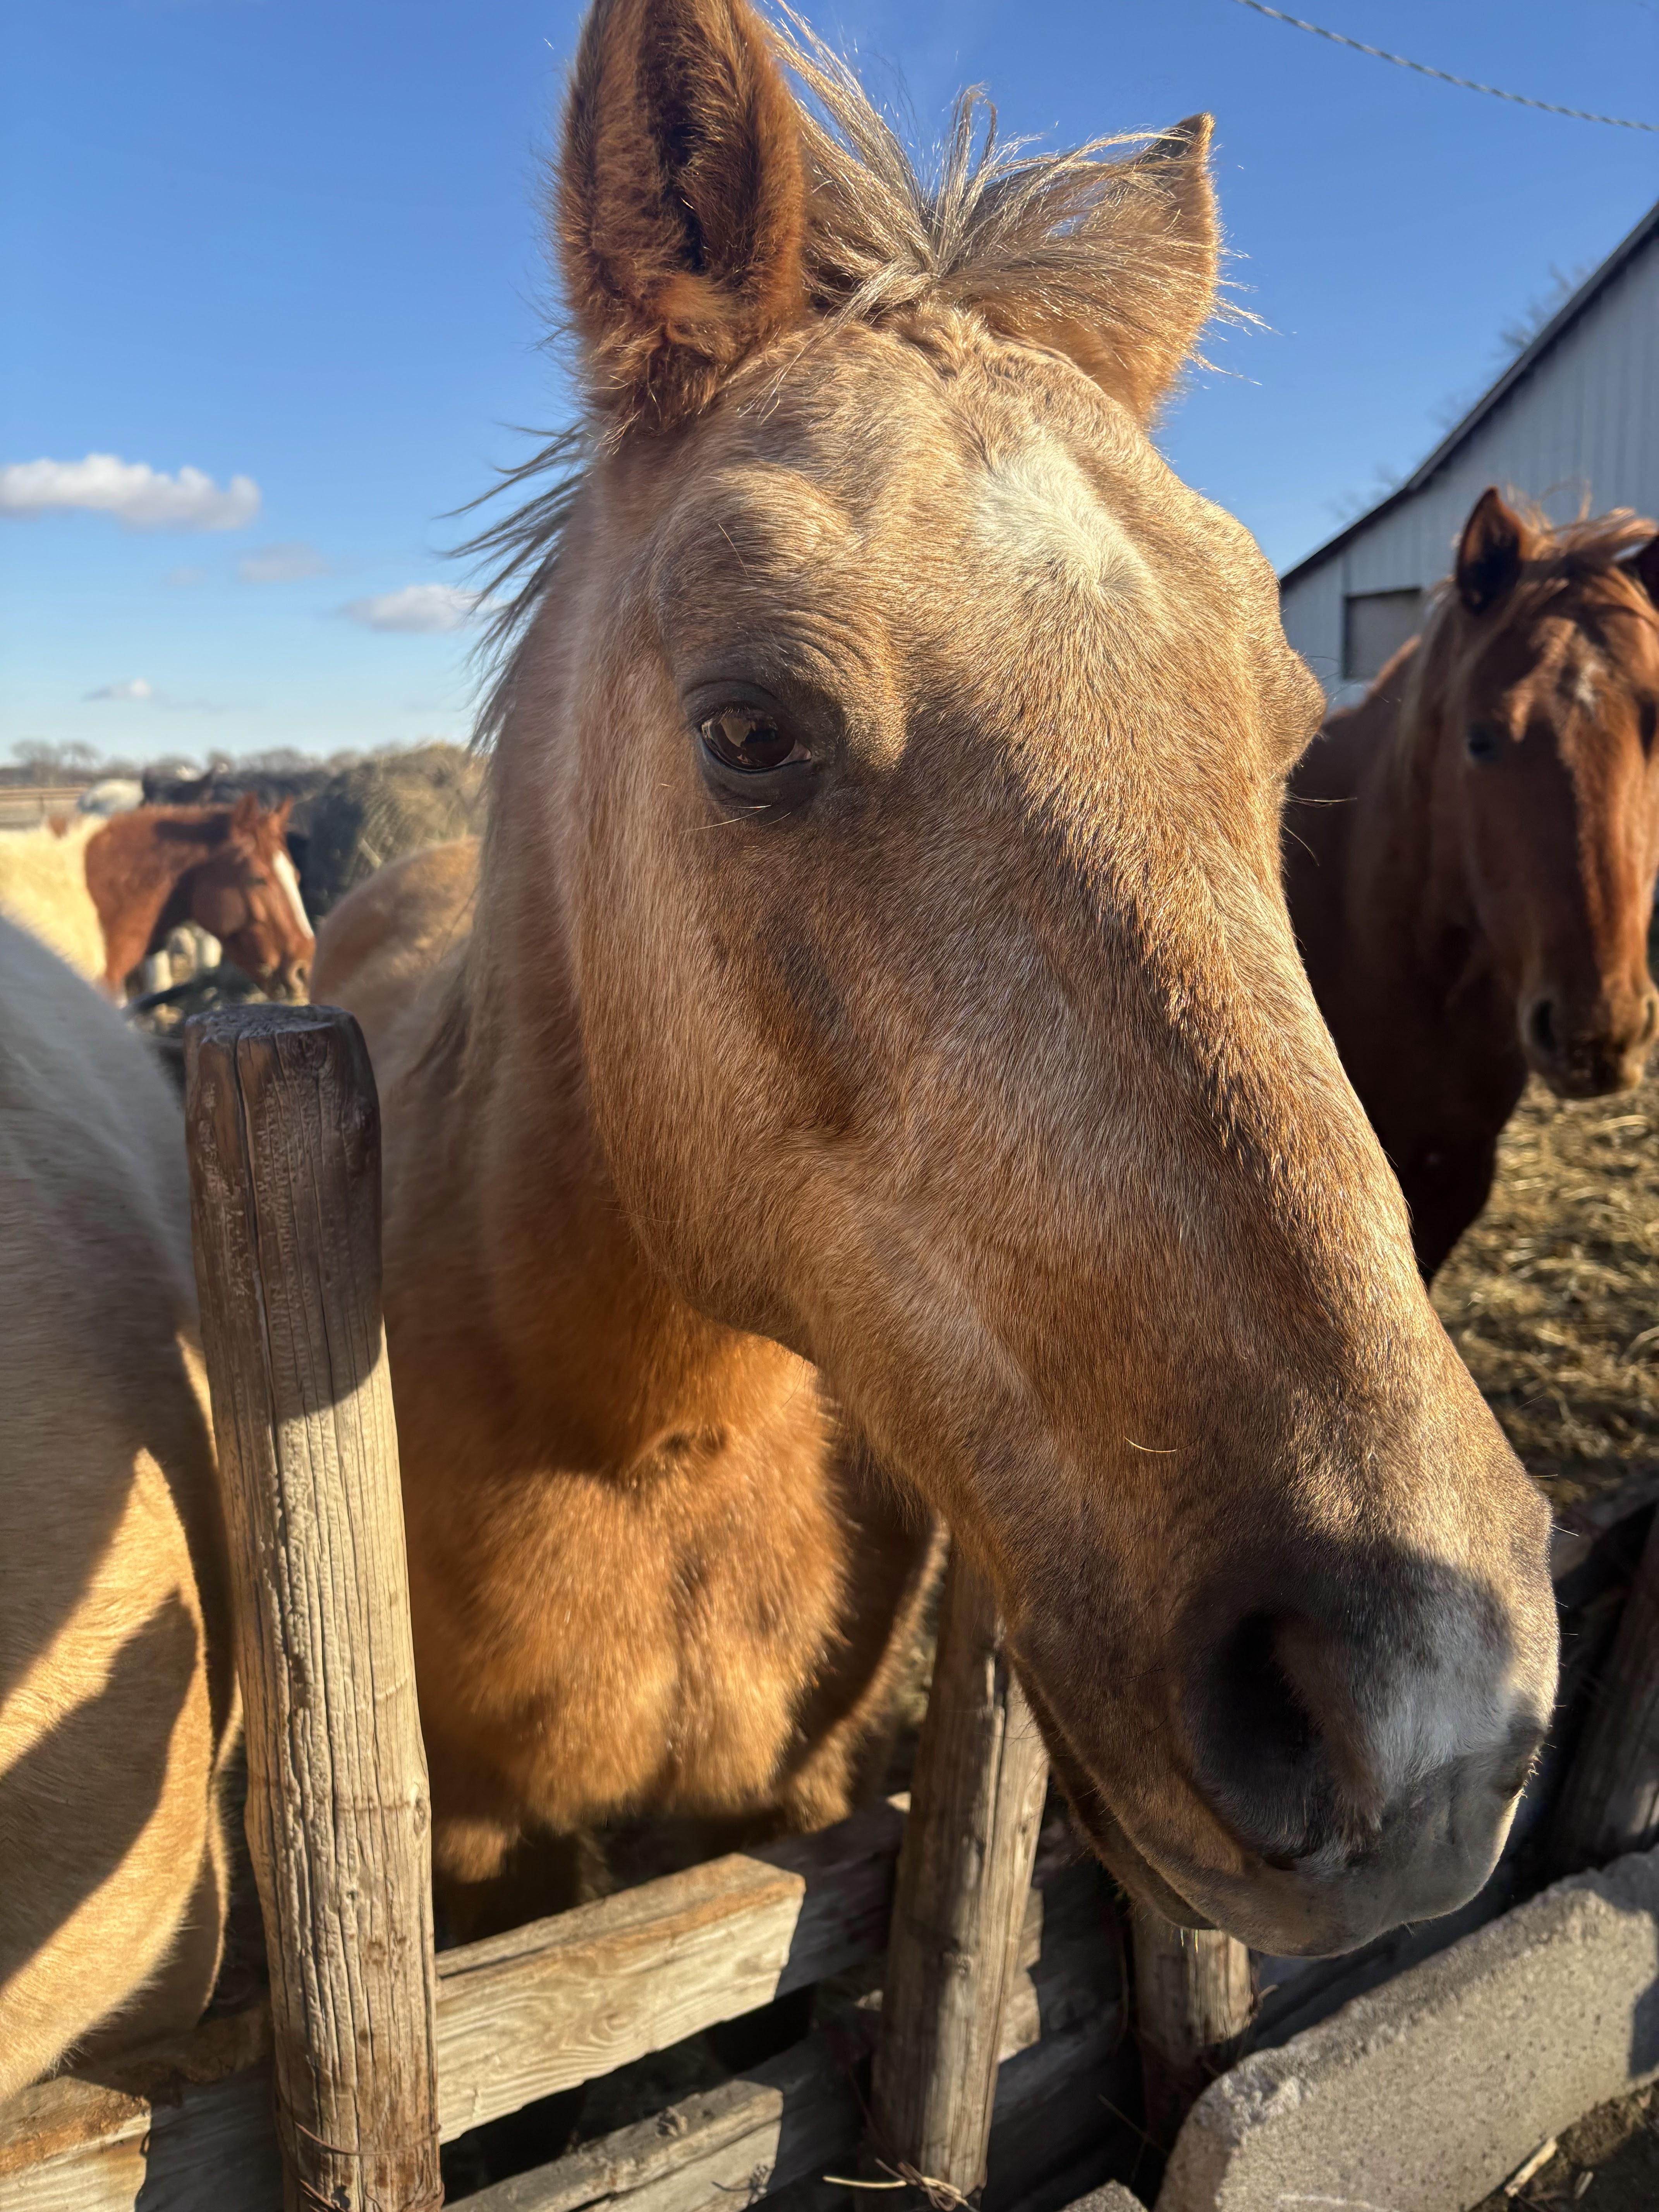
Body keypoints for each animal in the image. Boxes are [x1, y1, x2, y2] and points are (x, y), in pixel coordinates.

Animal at [311, 0, 1558, 1961]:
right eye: (748, 730)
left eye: (1290, 736)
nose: (1422, 1724)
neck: (639, 1436)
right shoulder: (470, 1854)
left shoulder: (797, 1787)